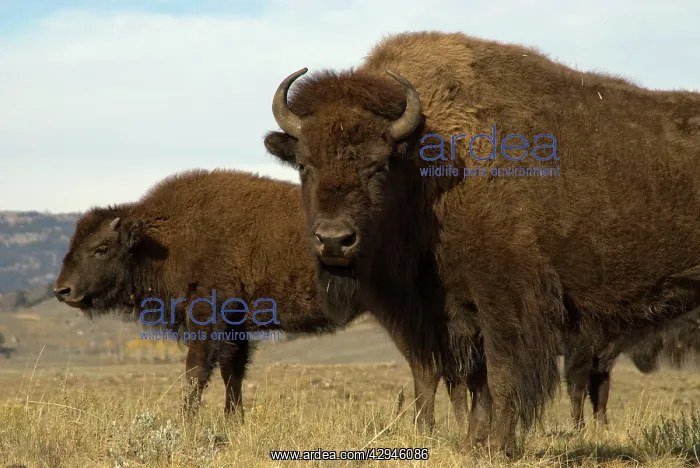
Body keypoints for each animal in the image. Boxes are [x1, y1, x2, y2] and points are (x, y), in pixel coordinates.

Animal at [264, 31, 700, 453]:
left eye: (380, 165)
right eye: (303, 163)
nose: (334, 241)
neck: (430, 160)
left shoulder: (504, 298)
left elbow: (501, 375)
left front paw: (497, 447)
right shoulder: (454, 312)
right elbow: (476, 382)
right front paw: (473, 443)